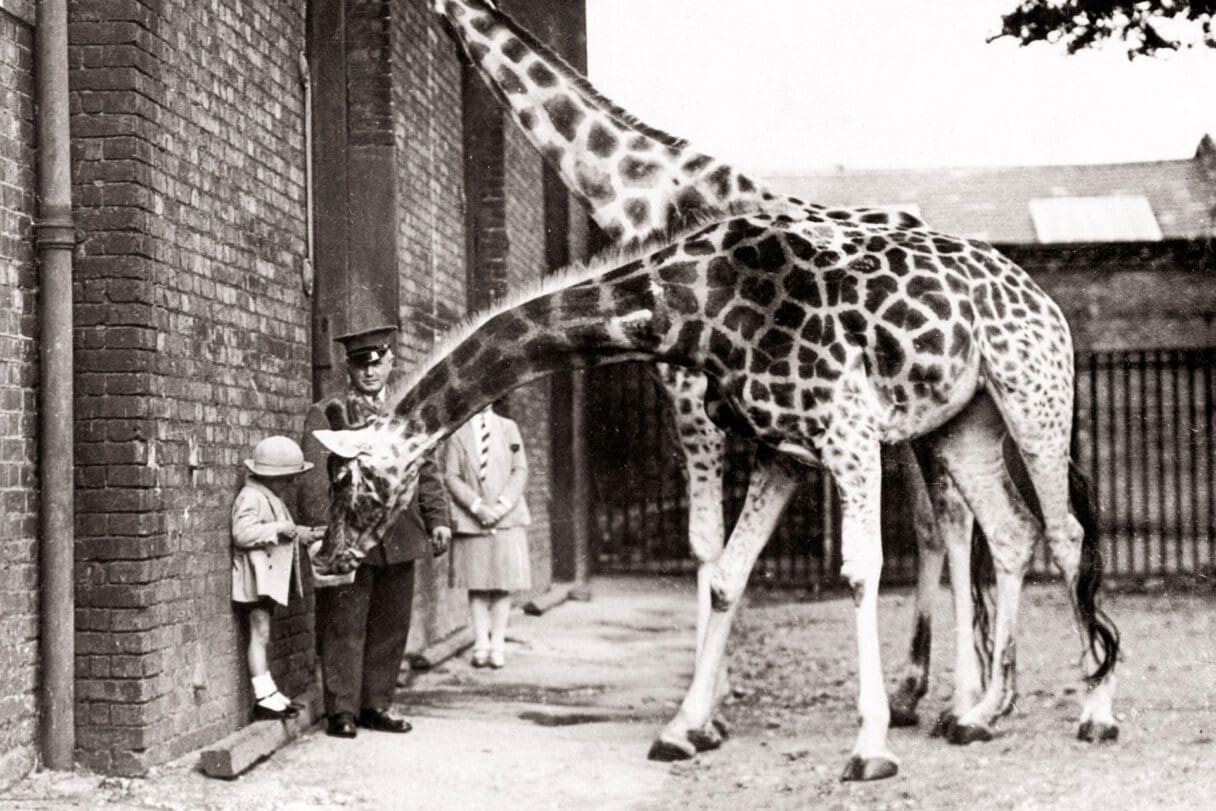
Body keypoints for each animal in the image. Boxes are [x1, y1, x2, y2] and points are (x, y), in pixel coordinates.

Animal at [312, 207, 1121, 781]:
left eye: (350, 479)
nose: (325, 558)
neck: (693, 308)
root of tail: (1044, 298)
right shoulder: (780, 449)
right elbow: (730, 577)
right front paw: (680, 730)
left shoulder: (849, 432)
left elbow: (860, 571)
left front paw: (870, 747)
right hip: (964, 421)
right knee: (1012, 532)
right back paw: (982, 713)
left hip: (1034, 397)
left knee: (1066, 535)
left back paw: (1096, 712)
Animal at [430, 0, 988, 748]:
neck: (647, 195)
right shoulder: (690, 394)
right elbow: (713, 546)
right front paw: (706, 707)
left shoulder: (699, 395)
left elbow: (708, 542)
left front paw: (705, 714)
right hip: (900, 426)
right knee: (933, 528)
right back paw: (912, 694)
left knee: (955, 524)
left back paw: (964, 705)